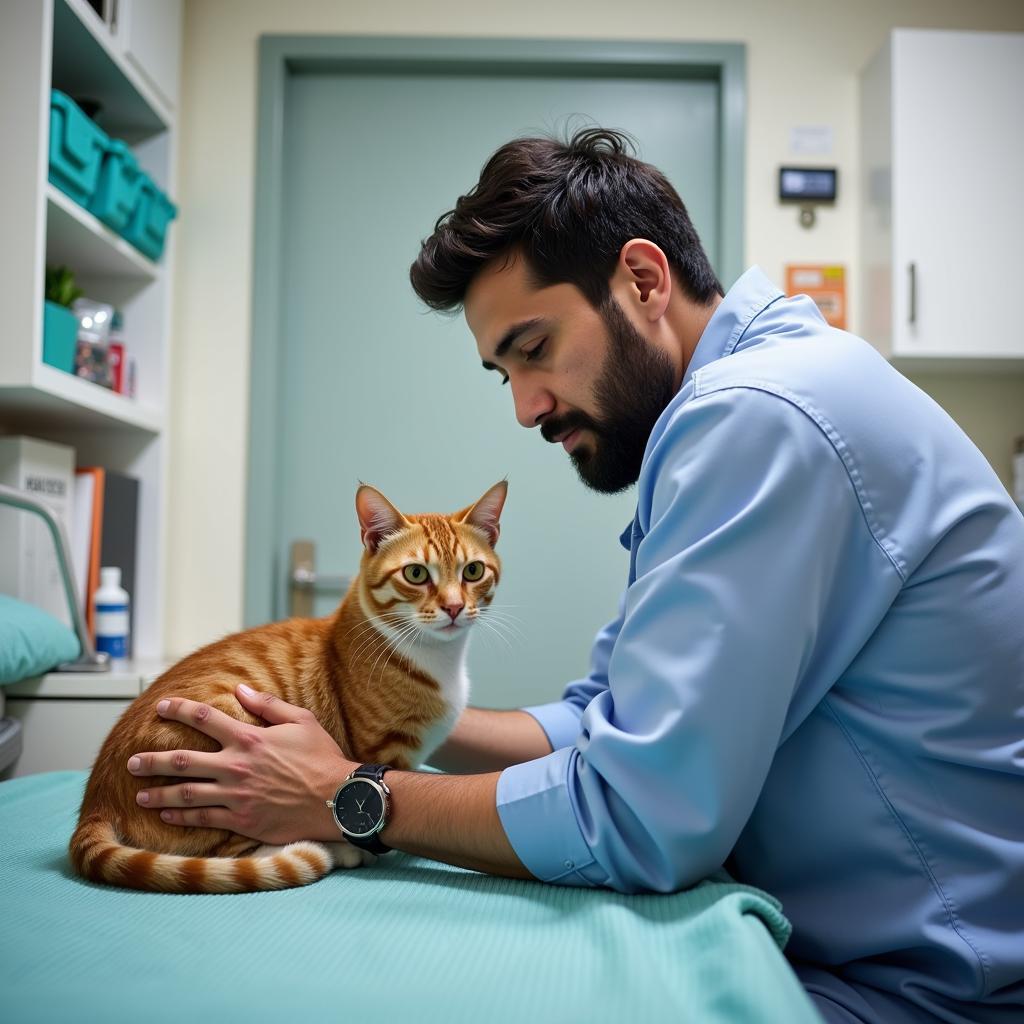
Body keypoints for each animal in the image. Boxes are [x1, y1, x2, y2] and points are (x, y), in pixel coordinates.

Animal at [69, 479, 507, 888]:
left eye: (472, 571)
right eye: (416, 573)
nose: (454, 607)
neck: (438, 659)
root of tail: (96, 800)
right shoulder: (383, 750)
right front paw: (361, 848)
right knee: (230, 851)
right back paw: (327, 848)